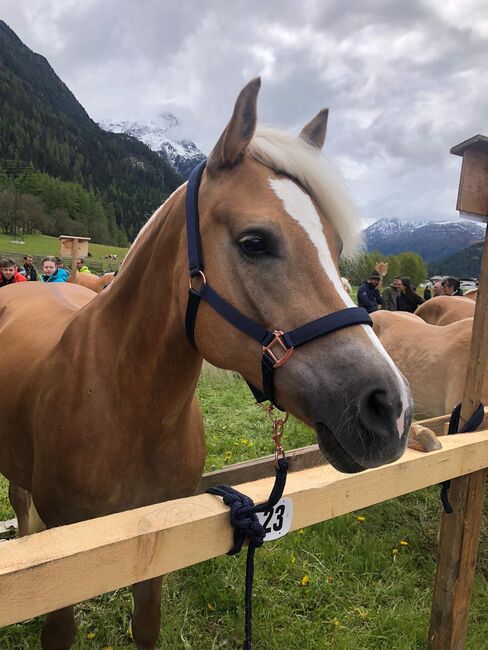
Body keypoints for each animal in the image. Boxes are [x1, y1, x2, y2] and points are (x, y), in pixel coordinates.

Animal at [0, 79, 412, 648]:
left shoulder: (157, 546)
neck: (122, 404)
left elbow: (145, 626)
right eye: (255, 241)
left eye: (334, 247)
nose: (390, 408)